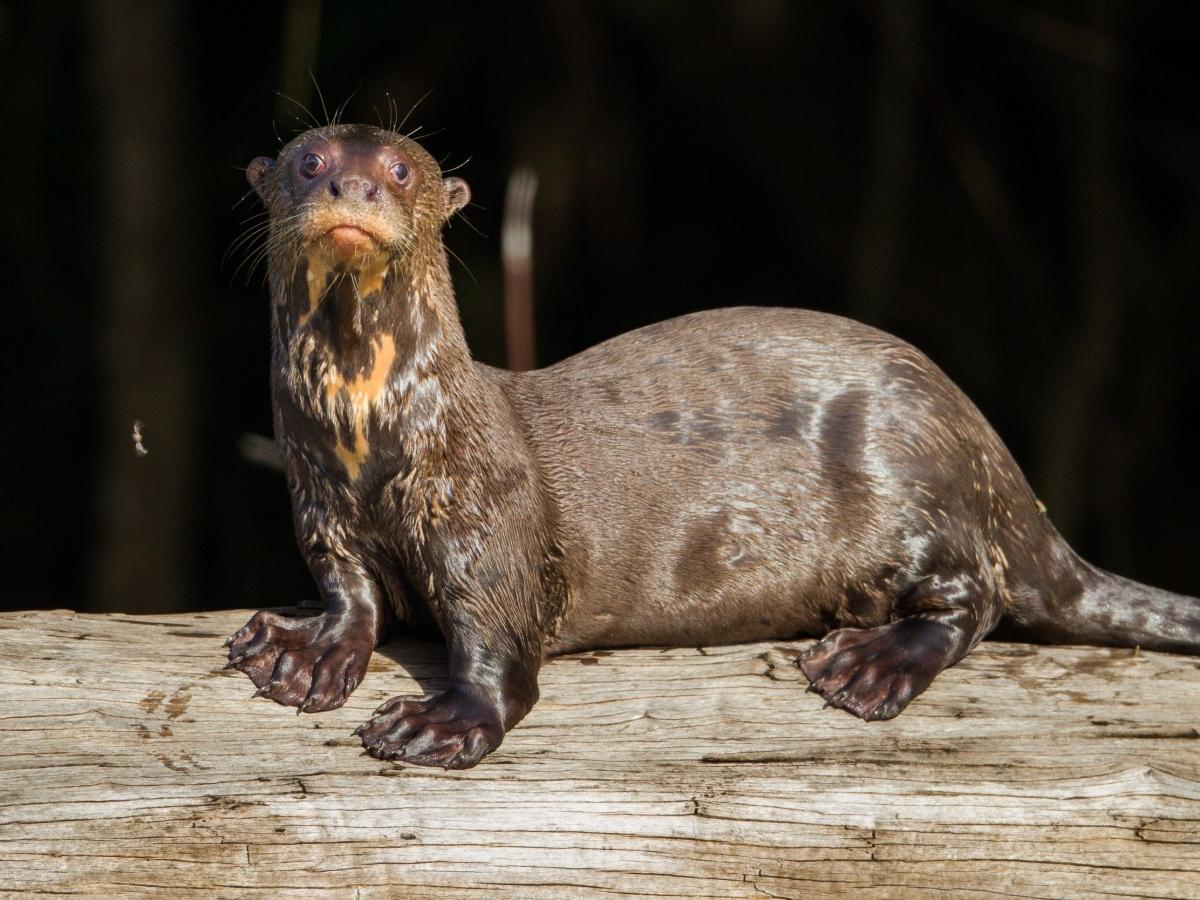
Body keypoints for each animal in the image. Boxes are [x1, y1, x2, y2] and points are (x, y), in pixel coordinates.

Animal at [226, 123, 1200, 770]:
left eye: (399, 168)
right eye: (311, 161)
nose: (354, 189)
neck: (373, 440)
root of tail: (989, 447)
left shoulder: (486, 521)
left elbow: (499, 643)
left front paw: (441, 722)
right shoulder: (323, 507)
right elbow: (352, 593)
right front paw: (304, 650)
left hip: (912, 473)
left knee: (983, 593)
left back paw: (871, 663)